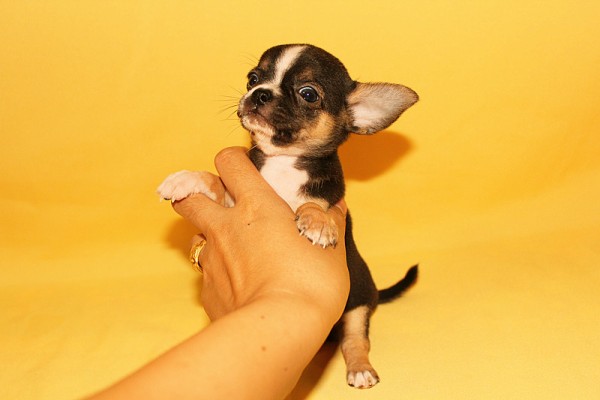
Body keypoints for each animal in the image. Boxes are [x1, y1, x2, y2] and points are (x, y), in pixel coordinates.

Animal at [158, 44, 419, 389]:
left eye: (308, 94)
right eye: (252, 78)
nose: (260, 93)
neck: (283, 161)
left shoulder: (329, 194)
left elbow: (314, 203)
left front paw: (318, 223)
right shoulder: (234, 197)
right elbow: (216, 182)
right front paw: (187, 178)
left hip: (358, 304)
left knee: (355, 340)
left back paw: (360, 369)